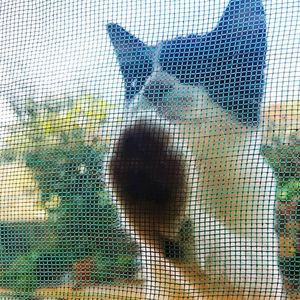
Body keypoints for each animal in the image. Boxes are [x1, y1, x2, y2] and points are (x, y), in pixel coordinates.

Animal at [105, 0, 286, 298]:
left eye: (191, 69)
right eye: (135, 83)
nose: (152, 88)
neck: (200, 166)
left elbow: (251, 272)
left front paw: (158, 196)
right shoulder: (155, 275)